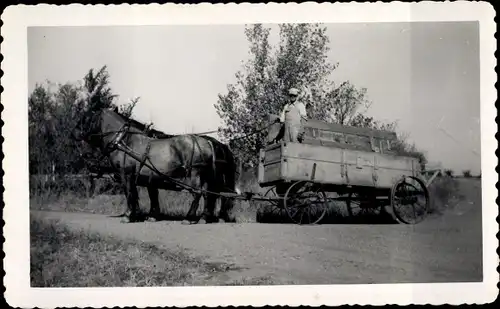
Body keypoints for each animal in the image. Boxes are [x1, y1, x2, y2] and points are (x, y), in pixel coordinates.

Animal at [75, 105, 239, 224]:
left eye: (88, 120)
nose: (84, 153)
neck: (124, 141)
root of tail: (207, 142)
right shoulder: (147, 177)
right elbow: (145, 195)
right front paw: (142, 215)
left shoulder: (126, 174)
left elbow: (129, 193)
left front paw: (128, 216)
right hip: (206, 175)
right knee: (208, 194)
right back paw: (205, 217)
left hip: (195, 172)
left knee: (198, 193)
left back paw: (189, 218)